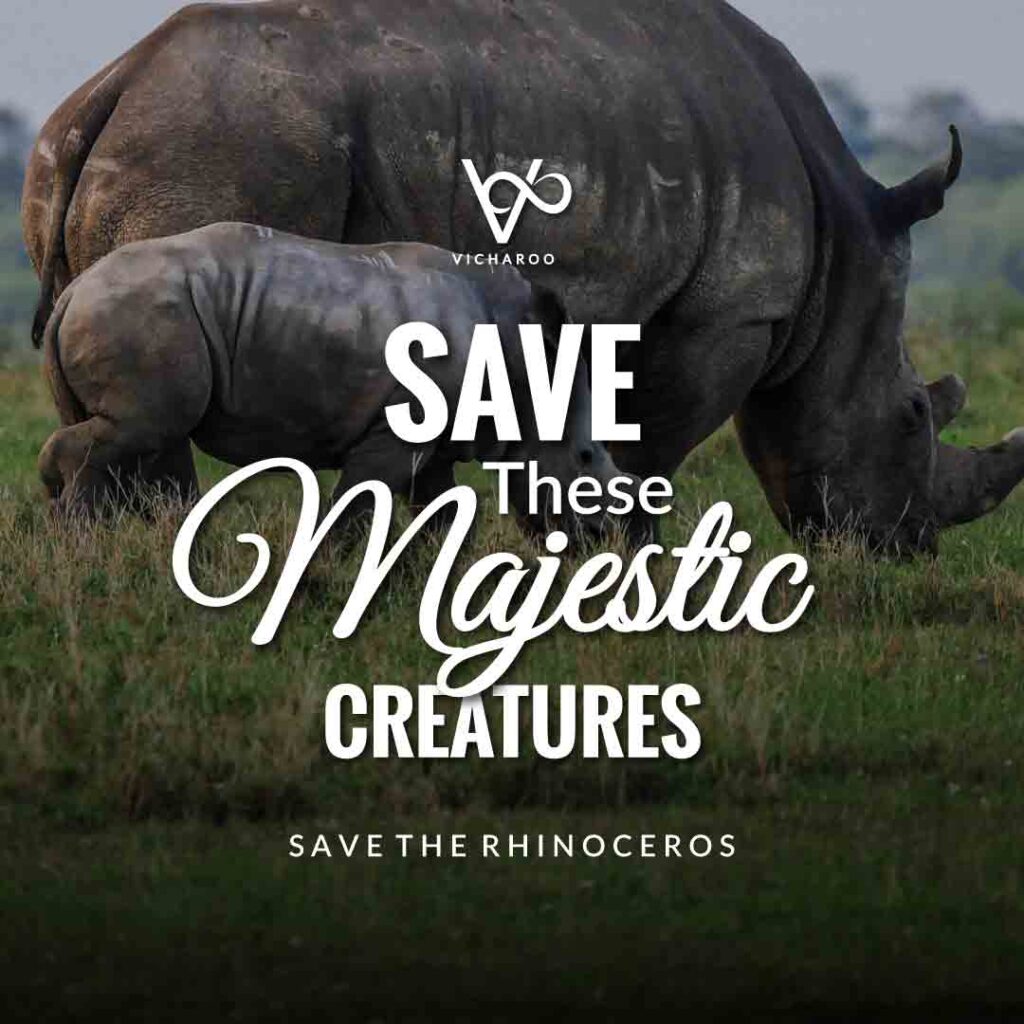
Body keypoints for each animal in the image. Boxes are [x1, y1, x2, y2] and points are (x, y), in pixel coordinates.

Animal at [38, 222, 627, 539]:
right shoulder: (398, 431)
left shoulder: (435, 438)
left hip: (128, 310)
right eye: (585, 457)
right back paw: (79, 538)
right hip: (140, 313)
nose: (603, 537)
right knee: (145, 427)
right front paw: (341, 569)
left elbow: (437, 512)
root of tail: (73, 293)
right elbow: (361, 504)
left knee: (132, 437)